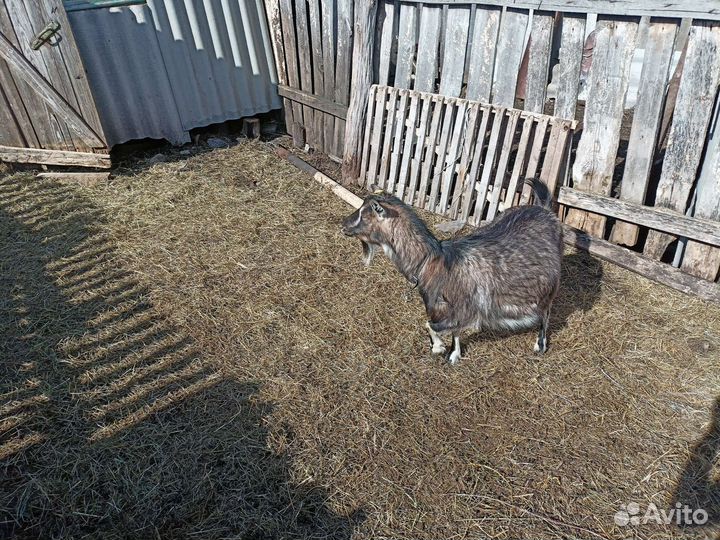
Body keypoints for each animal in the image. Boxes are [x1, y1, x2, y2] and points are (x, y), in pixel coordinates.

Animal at [340, 179, 563, 364]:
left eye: (363, 215)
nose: (343, 225)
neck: (432, 262)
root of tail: (545, 209)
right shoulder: (448, 309)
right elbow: (452, 330)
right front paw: (453, 354)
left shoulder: (465, 308)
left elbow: (430, 325)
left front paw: (438, 348)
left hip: (550, 289)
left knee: (546, 313)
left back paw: (540, 344)